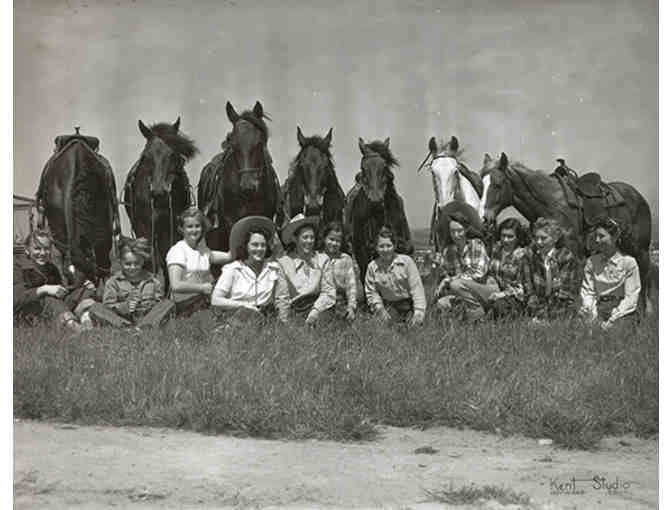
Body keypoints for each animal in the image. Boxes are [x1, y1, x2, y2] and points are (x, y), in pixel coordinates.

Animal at [123, 117, 196, 288]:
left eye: (173, 154)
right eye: (146, 156)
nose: (158, 192)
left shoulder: (173, 227)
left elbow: (169, 257)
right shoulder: (145, 226)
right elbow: (151, 260)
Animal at [479, 152, 653, 313]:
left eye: (498, 184)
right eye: (481, 186)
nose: (484, 219)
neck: (550, 203)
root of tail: (638, 196)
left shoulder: (574, 254)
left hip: (642, 250)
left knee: (645, 277)